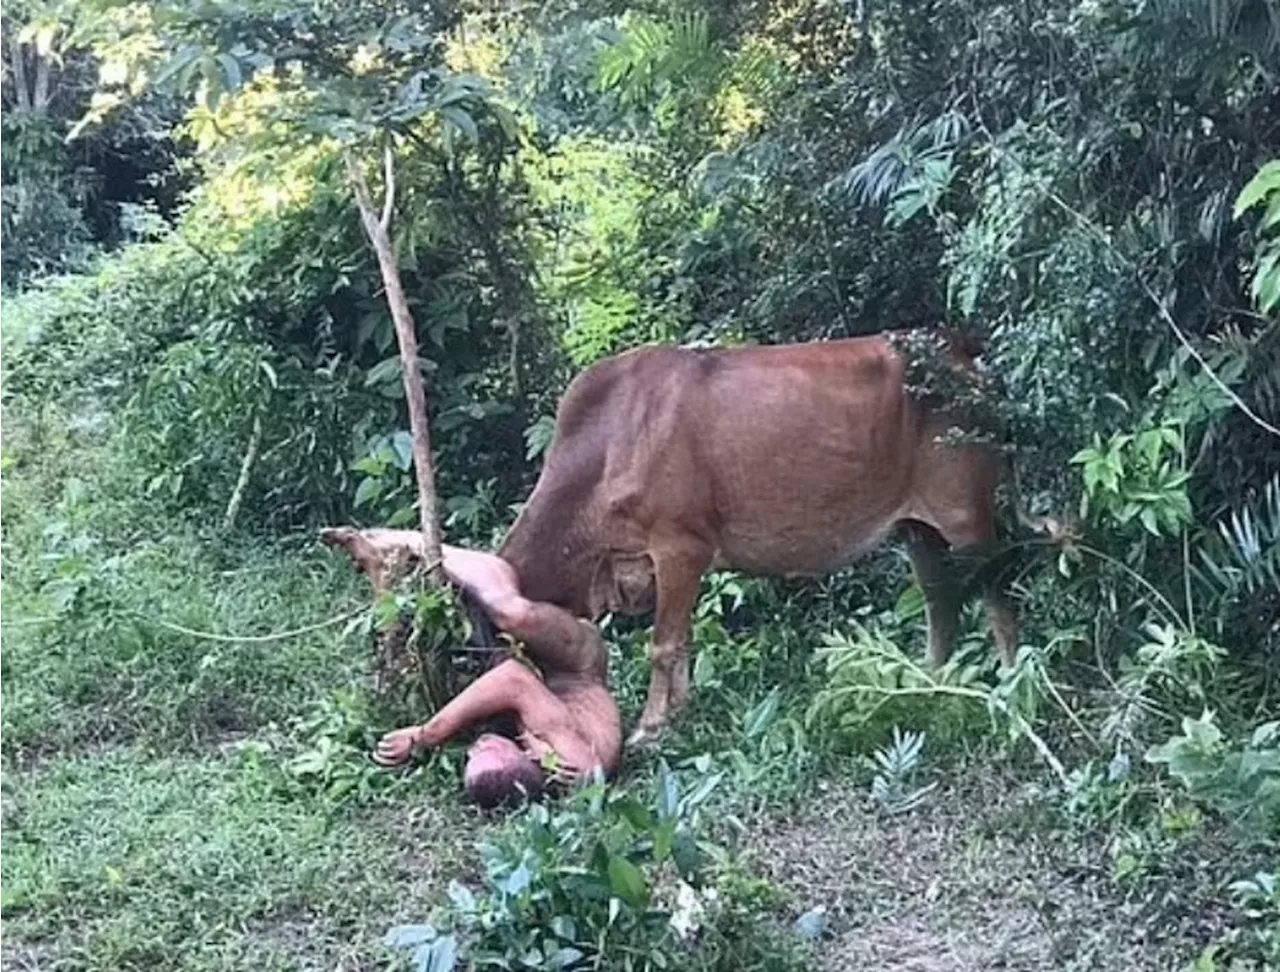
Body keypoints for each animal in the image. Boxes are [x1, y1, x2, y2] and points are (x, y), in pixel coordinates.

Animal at [494, 332, 1013, 742]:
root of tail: (965, 354)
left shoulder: (680, 547)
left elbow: (663, 645)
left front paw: (650, 726)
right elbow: (683, 640)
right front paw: (680, 711)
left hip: (966, 515)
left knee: (996, 593)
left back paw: (1012, 679)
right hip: (916, 528)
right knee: (940, 600)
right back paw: (930, 680)